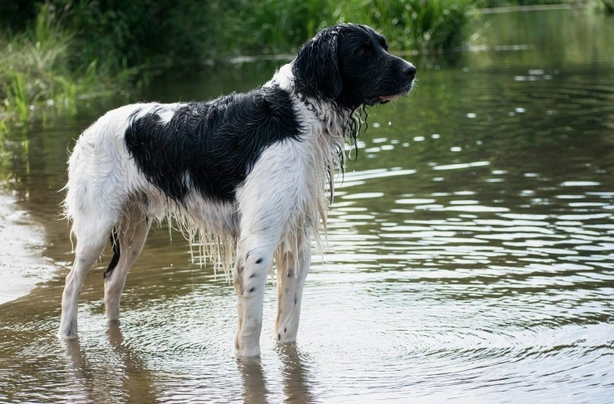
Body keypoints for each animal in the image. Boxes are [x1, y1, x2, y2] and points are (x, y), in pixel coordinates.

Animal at [60, 22, 416, 356]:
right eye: (362, 51)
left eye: (383, 45)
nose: (412, 70)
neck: (297, 114)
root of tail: (88, 130)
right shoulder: (257, 244)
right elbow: (251, 330)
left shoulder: (295, 242)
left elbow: (288, 325)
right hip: (96, 228)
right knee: (71, 284)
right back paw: (67, 336)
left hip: (135, 229)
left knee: (112, 282)